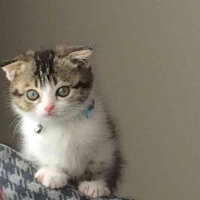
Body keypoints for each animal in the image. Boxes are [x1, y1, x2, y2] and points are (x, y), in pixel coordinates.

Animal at [0, 44, 122, 198]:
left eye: (63, 91)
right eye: (32, 94)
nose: (49, 108)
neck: (61, 124)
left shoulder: (106, 140)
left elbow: (102, 164)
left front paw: (95, 184)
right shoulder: (32, 146)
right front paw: (53, 174)